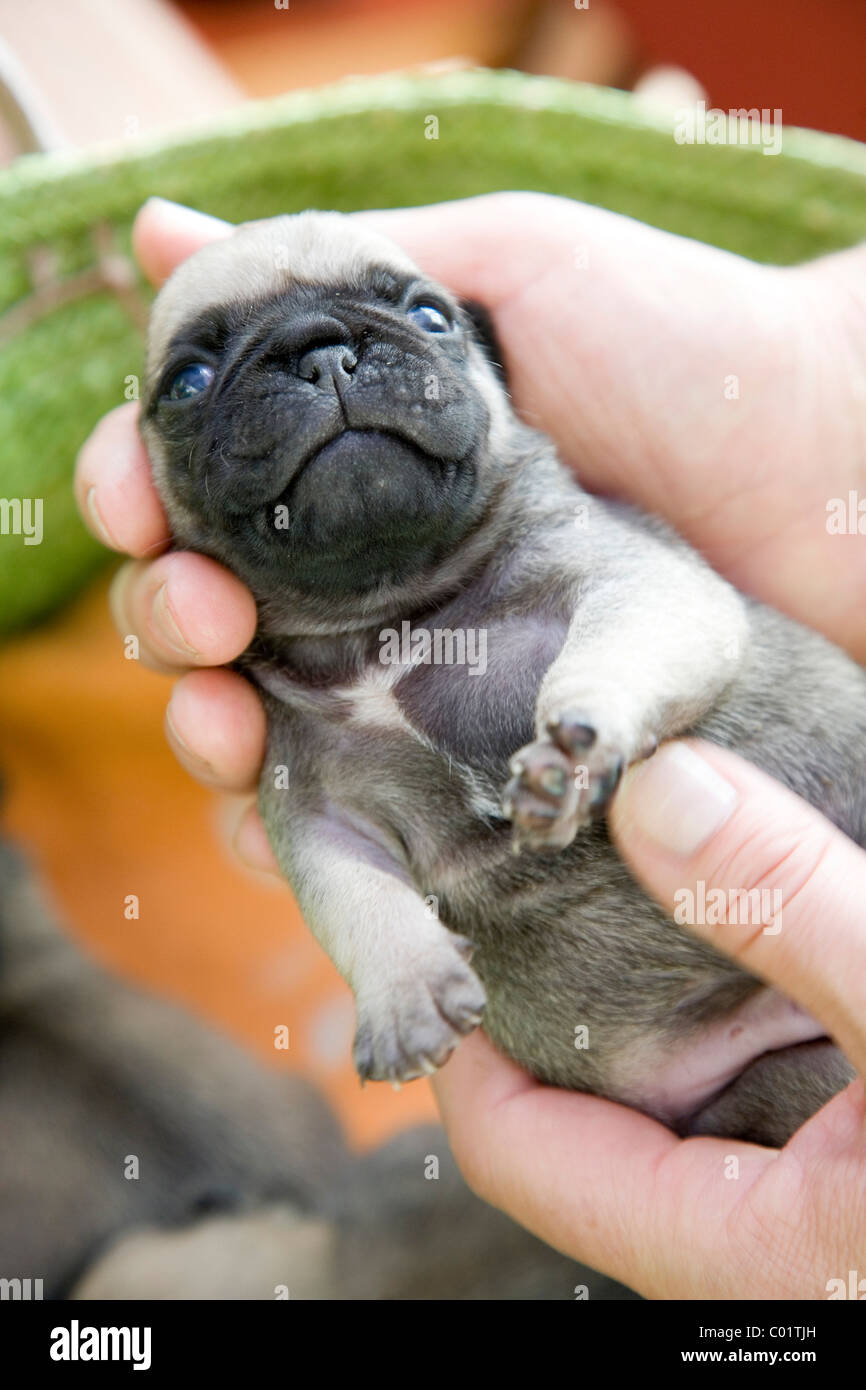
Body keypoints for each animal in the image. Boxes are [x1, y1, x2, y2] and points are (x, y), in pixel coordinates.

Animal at [139, 211, 861, 1145]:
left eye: (431, 316)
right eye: (187, 382)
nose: (322, 351)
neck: (387, 618)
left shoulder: (633, 580)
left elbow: (613, 649)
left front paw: (574, 749)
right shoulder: (313, 806)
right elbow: (352, 894)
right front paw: (404, 992)